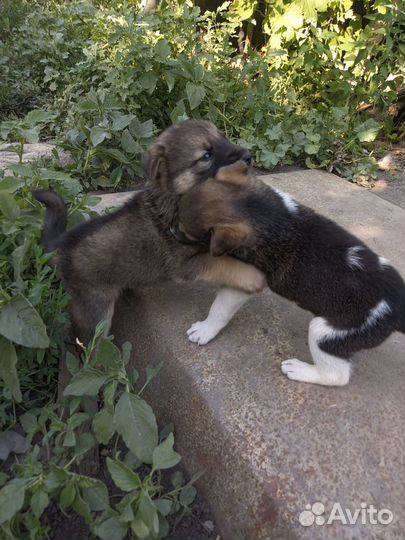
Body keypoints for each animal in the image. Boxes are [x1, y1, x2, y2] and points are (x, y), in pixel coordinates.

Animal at [32, 121, 266, 344]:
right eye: (206, 156)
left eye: (223, 137)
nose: (248, 156)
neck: (174, 195)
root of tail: (60, 244)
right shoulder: (186, 264)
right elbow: (225, 264)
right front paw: (253, 277)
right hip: (94, 311)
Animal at [174, 162, 404, 386]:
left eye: (186, 232)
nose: (170, 231)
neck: (271, 216)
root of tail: (397, 308)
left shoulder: (246, 282)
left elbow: (219, 309)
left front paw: (204, 330)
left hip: (327, 332)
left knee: (336, 377)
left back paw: (300, 370)